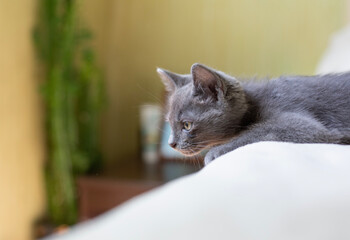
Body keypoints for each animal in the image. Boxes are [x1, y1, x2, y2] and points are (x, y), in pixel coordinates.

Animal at [157, 63, 350, 165]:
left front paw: (215, 151)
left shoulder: (302, 123)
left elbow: (258, 131)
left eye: (187, 125)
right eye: (170, 123)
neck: (254, 103)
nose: (171, 144)